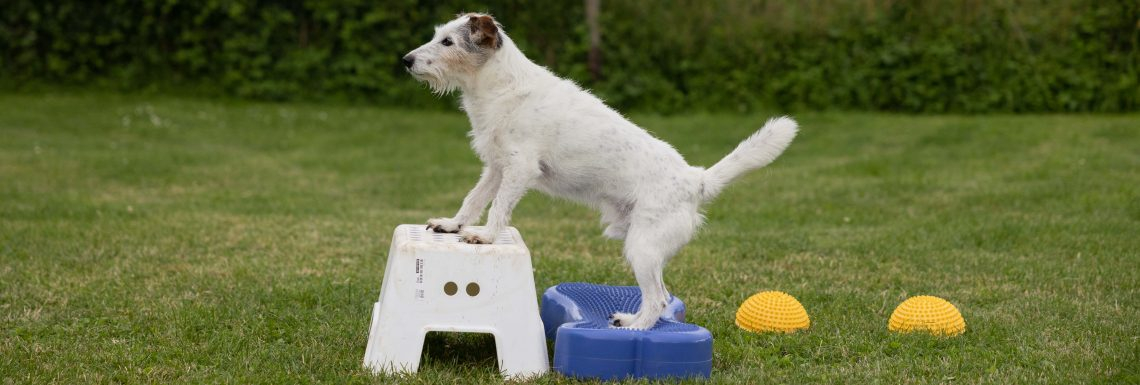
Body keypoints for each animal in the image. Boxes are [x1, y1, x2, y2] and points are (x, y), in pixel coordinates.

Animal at [405, 13, 798, 330]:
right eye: (438, 35)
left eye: (448, 42)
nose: (406, 60)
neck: (502, 86)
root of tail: (695, 179)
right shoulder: (496, 168)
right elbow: (473, 200)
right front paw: (453, 225)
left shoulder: (519, 169)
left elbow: (499, 208)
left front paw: (484, 236)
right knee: (661, 295)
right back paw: (630, 320)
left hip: (643, 248)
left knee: (658, 298)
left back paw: (635, 330)